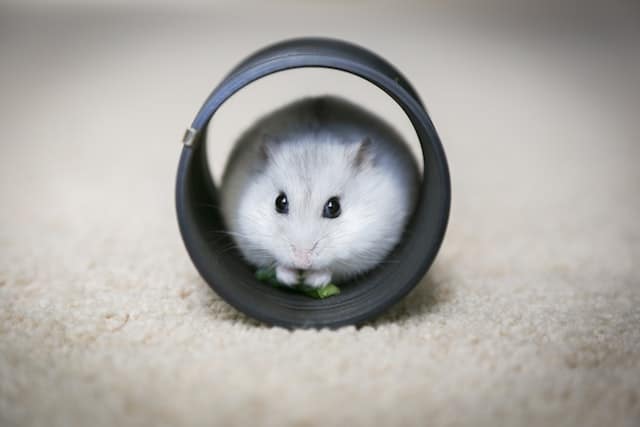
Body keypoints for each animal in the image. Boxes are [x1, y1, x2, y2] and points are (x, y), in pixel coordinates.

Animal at [220, 96, 419, 288]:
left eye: (334, 207)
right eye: (279, 202)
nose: (302, 261)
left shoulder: (368, 249)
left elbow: (333, 269)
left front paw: (313, 281)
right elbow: (277, 265)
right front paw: (291, 279)